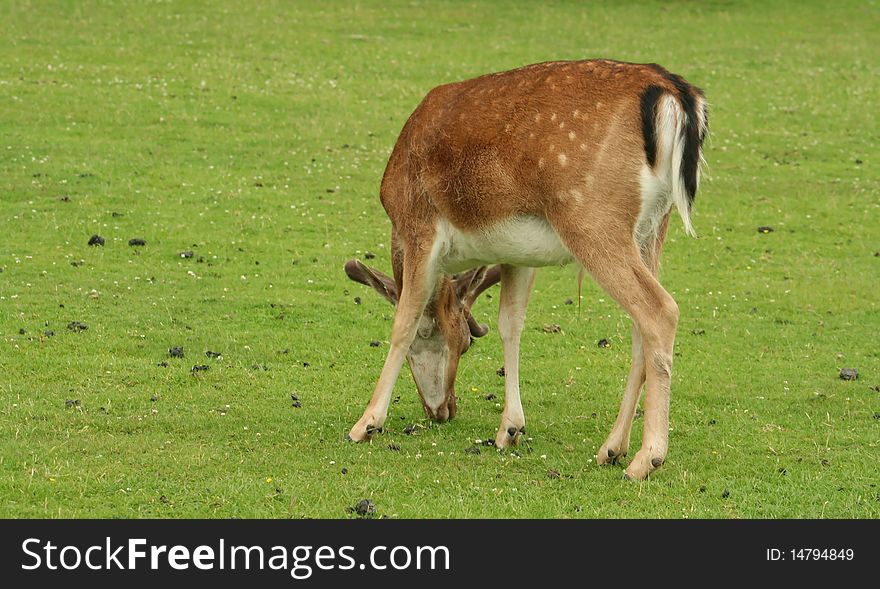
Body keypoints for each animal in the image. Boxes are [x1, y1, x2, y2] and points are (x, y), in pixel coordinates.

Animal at [344, 59, 708, 480]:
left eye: (462, 343)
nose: (442, 410)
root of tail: (675, 93)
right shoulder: (518, 255)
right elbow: (510, 324)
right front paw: (510, 429)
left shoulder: (419, 228)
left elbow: (403, 320)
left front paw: (366, 423)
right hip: (653, 228)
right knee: (640, 326)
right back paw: (611, 448)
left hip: (592, 218)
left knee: (660, 310)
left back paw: (646, 458)